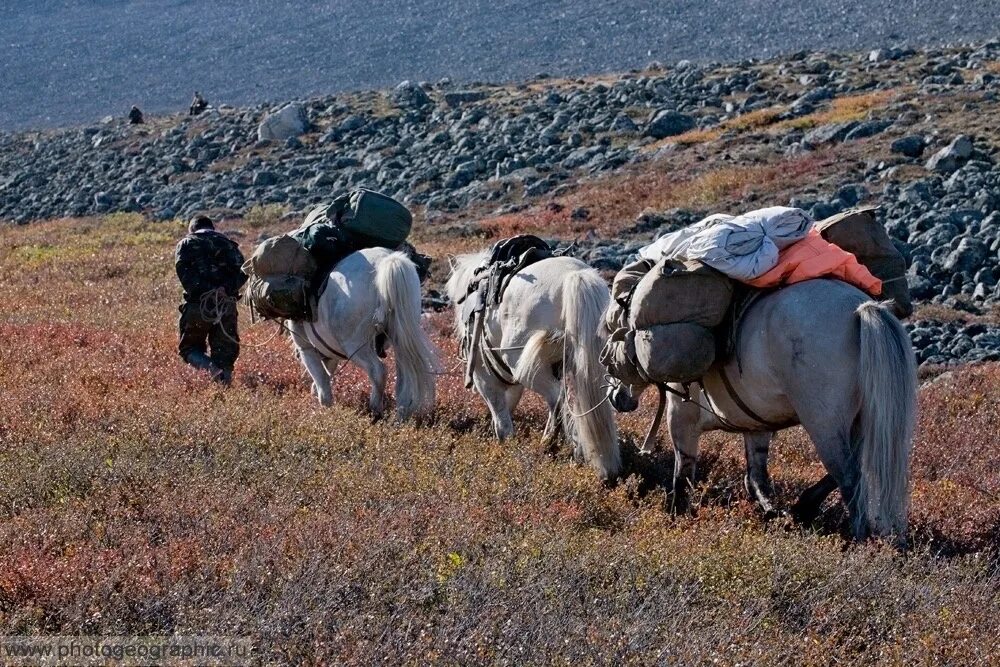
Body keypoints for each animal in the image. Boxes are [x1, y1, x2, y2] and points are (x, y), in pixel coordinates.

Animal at [286, 248, 434, 420]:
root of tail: (385, 263)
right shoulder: (329, 352)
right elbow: (327, 373)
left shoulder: (306, 348)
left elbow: (321, 379)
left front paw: (324, 409)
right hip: (401, 337)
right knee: (406, 376)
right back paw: (401, 414)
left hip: (355, 345)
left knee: (378, 371)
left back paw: (375, 409)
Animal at [604, 280, 916, 540]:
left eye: (619, 332)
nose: (616, 398)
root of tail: (860, 309)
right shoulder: (756, 428)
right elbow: (756, 477)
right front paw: (774, 513)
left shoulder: (681, 419)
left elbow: (683, 476)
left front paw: (675, 519)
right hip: (862, 424)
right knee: (852, 471)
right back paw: (805, 508)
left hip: (824, 426)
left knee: (850, 478)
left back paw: (859, 539)